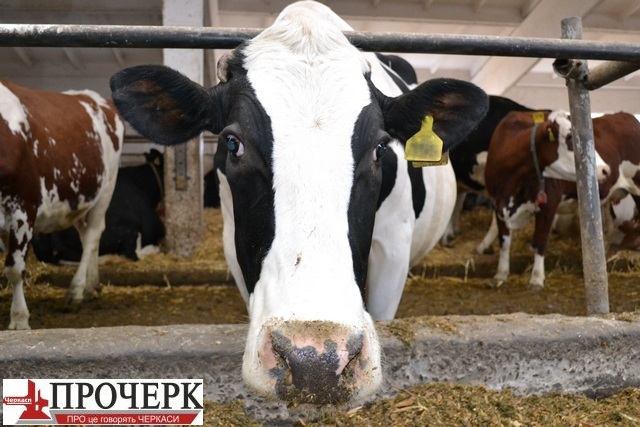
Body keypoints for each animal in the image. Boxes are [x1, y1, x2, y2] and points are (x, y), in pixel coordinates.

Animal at [0, 80, 124, 330]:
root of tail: (95, 98)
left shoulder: (23, 207)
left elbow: (14, 268)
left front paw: (19, 318)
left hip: (105, 190)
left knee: (93, 234)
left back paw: (76, 291)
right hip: (78, 201)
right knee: (87, 236)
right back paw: (90, 286)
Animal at [480, 110, 639, 291]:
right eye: (569, 137)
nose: (605, 170)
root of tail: (625, 115)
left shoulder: (548, 203)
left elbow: (540, 241)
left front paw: (536, 279)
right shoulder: (498, 205)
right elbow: (504, 242)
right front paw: (500, 275)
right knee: (604, 230)